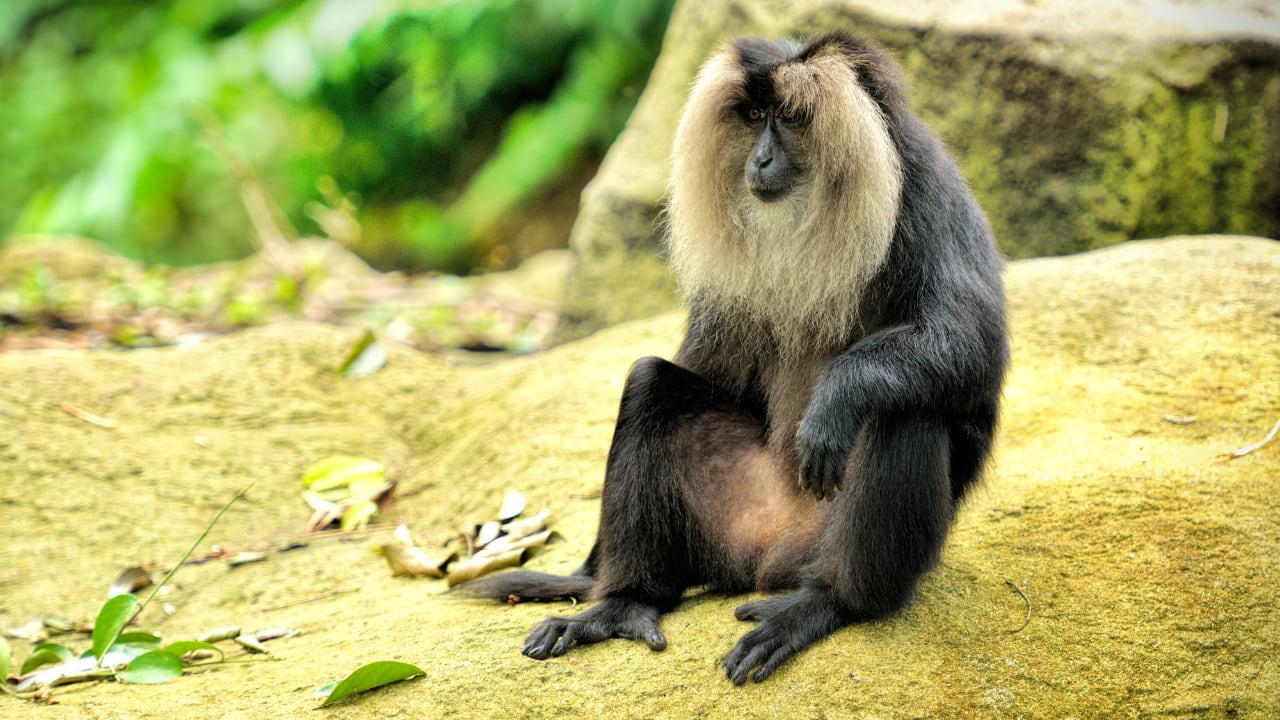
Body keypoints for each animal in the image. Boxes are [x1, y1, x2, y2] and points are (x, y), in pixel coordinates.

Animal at [461, 30, 1009, 685]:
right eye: (752, 117)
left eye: (792, 118)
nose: (760, 161)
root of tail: (767, 555)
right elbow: (703, 366)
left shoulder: (927, 191)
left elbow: (972, 344)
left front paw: (835, 398)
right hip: (726, 522)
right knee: (651, 382)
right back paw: (622, 603)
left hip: (821, 539)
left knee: (901, 406)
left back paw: (824, 603)